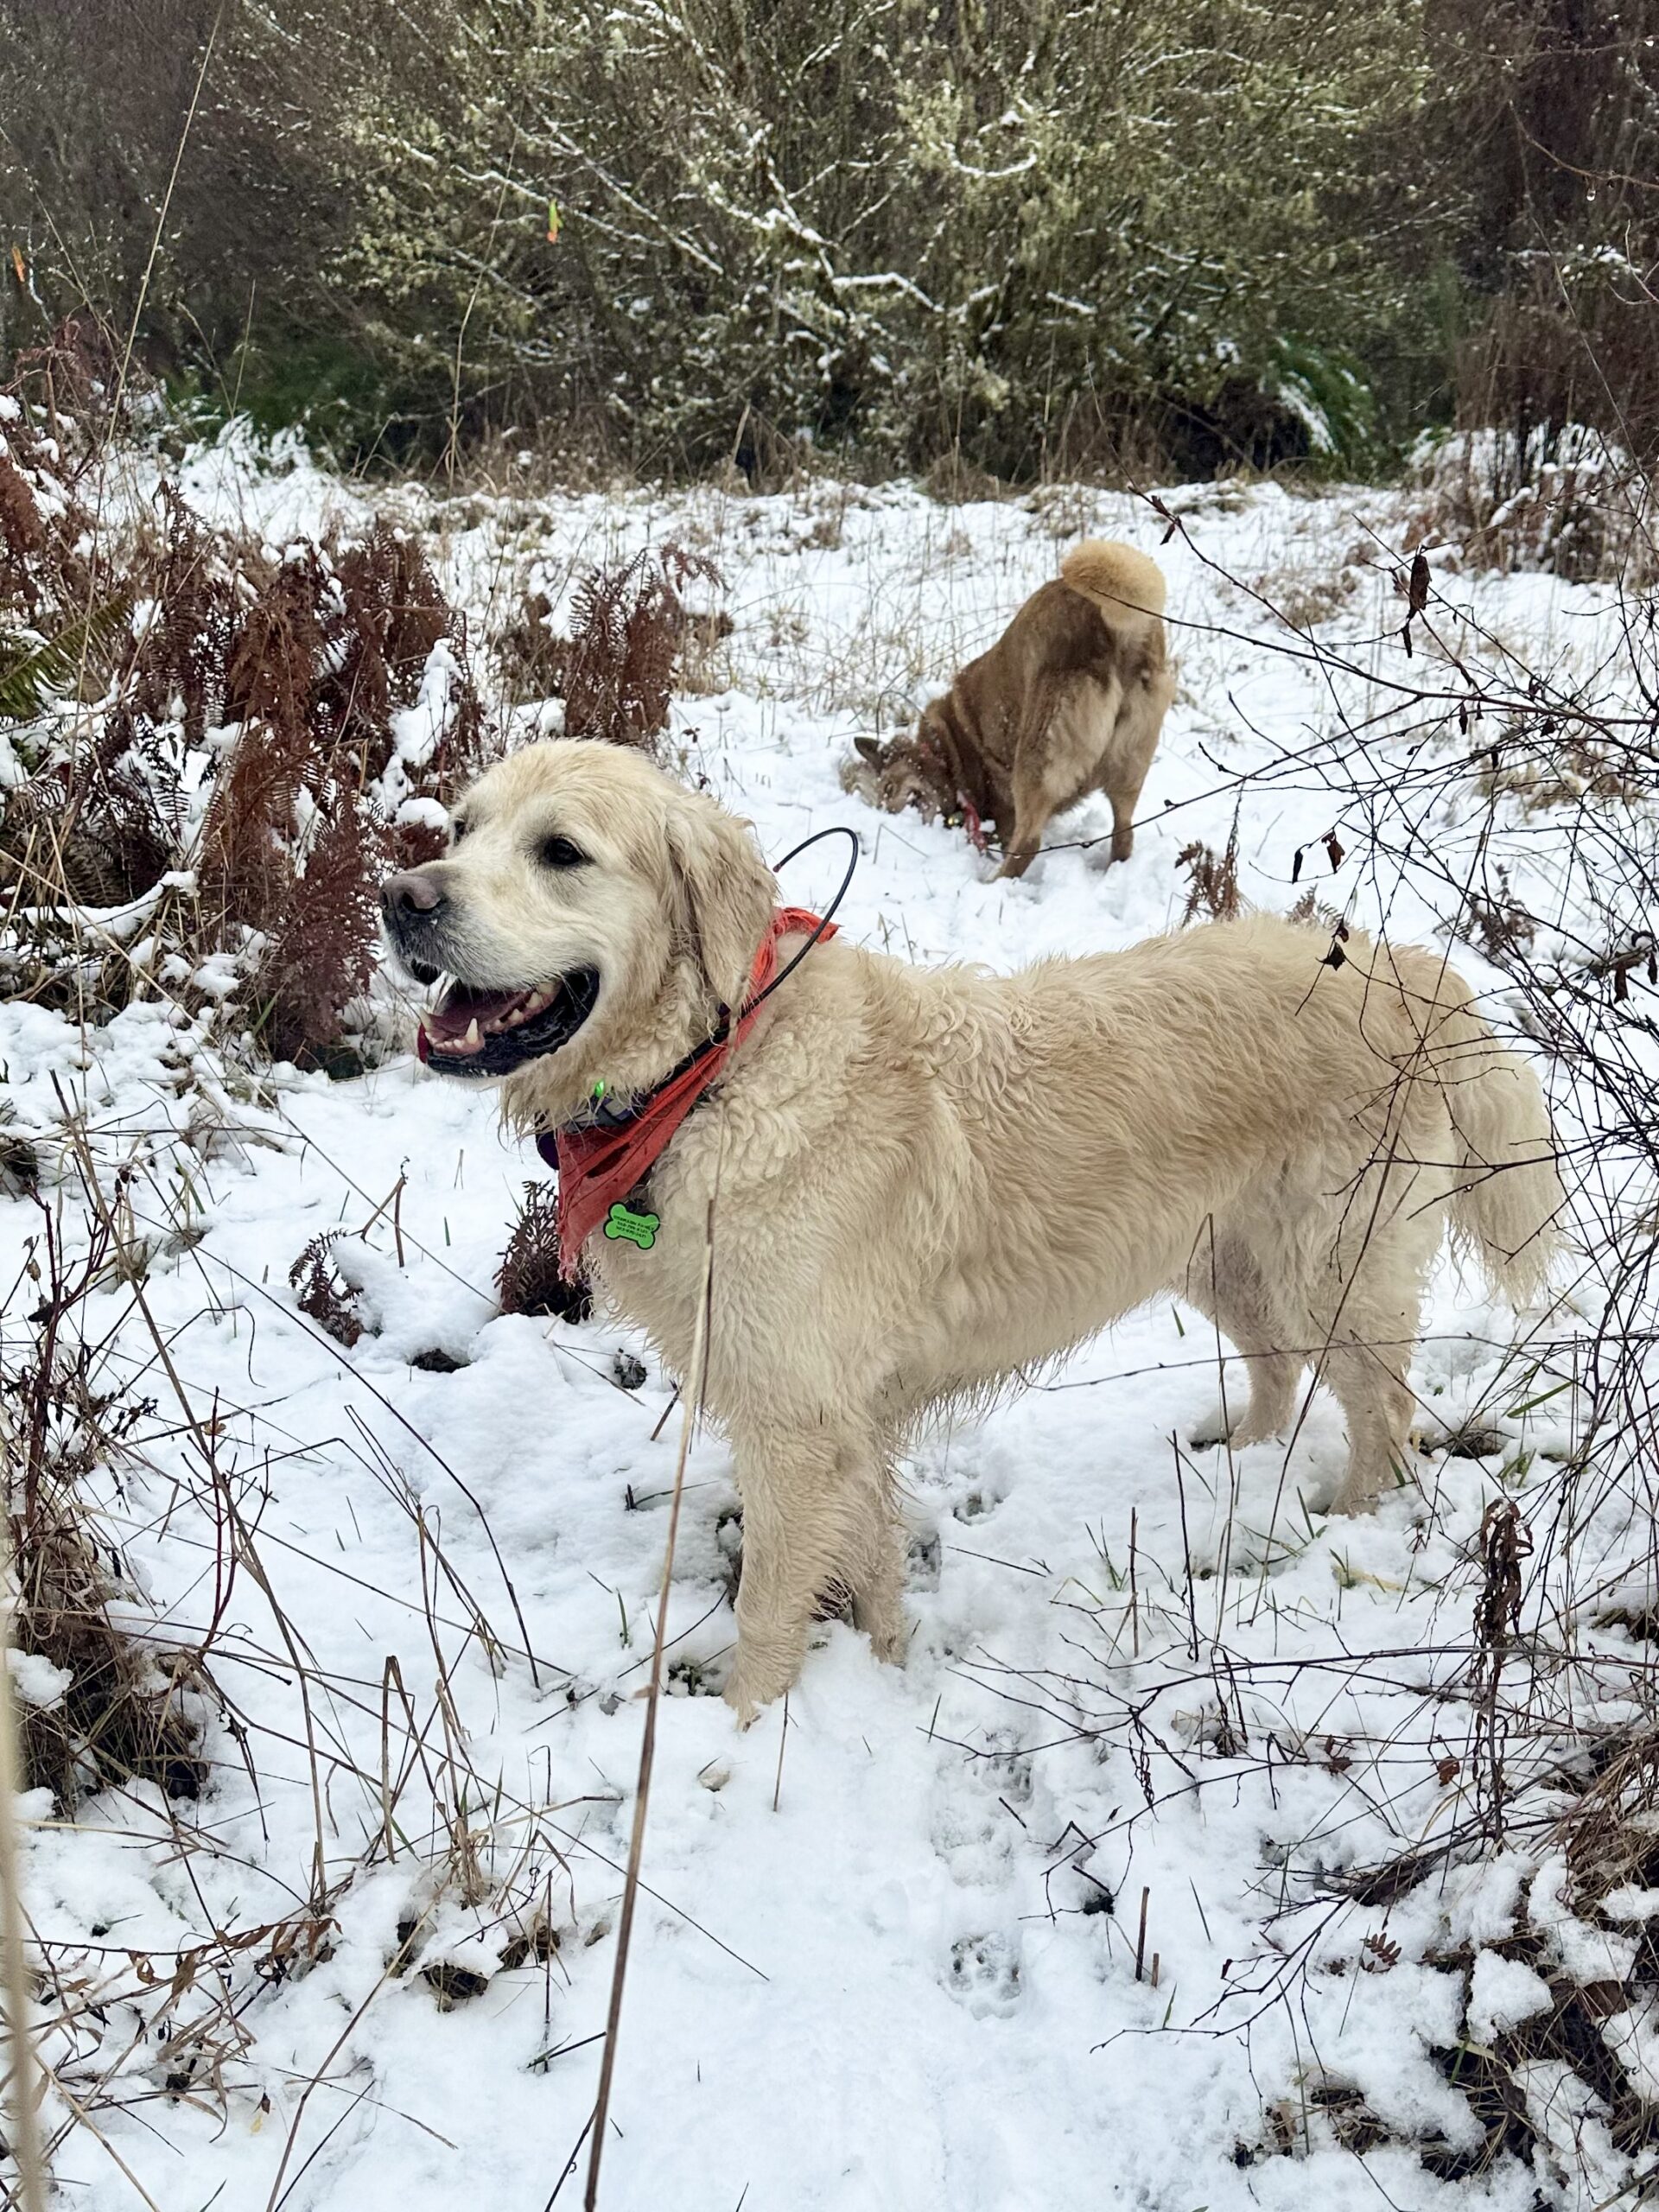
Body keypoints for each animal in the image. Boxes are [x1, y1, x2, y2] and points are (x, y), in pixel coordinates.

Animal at [844, 539, 1185, 875]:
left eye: (888, 788)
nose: (891, 818)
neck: (947, 750)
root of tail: (1115, 630)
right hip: (1131, 763)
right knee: (1124, 833)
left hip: (1036, 755)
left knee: (1028, 845)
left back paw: (992, 883)